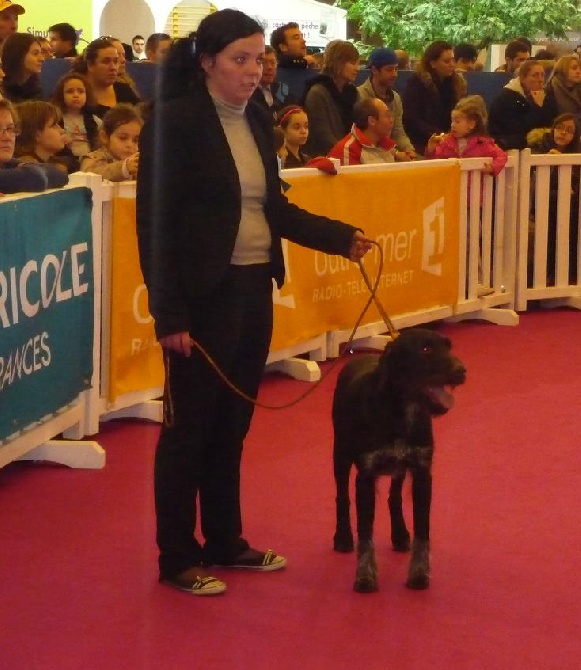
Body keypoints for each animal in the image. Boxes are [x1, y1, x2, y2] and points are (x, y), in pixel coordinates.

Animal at [330, 328, 466, 596]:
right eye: (425, 349)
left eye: (448, 346)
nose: (461, 371)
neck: (402, 411)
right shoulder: (365, 476)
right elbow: (365, 533)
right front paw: (365, 577)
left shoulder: (422, 472)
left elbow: (423, 530)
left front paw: (419, 573)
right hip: (340, 453)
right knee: (342, 496)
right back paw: (342, 536)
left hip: (399, 469)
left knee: (394, 498)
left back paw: (400, 534)